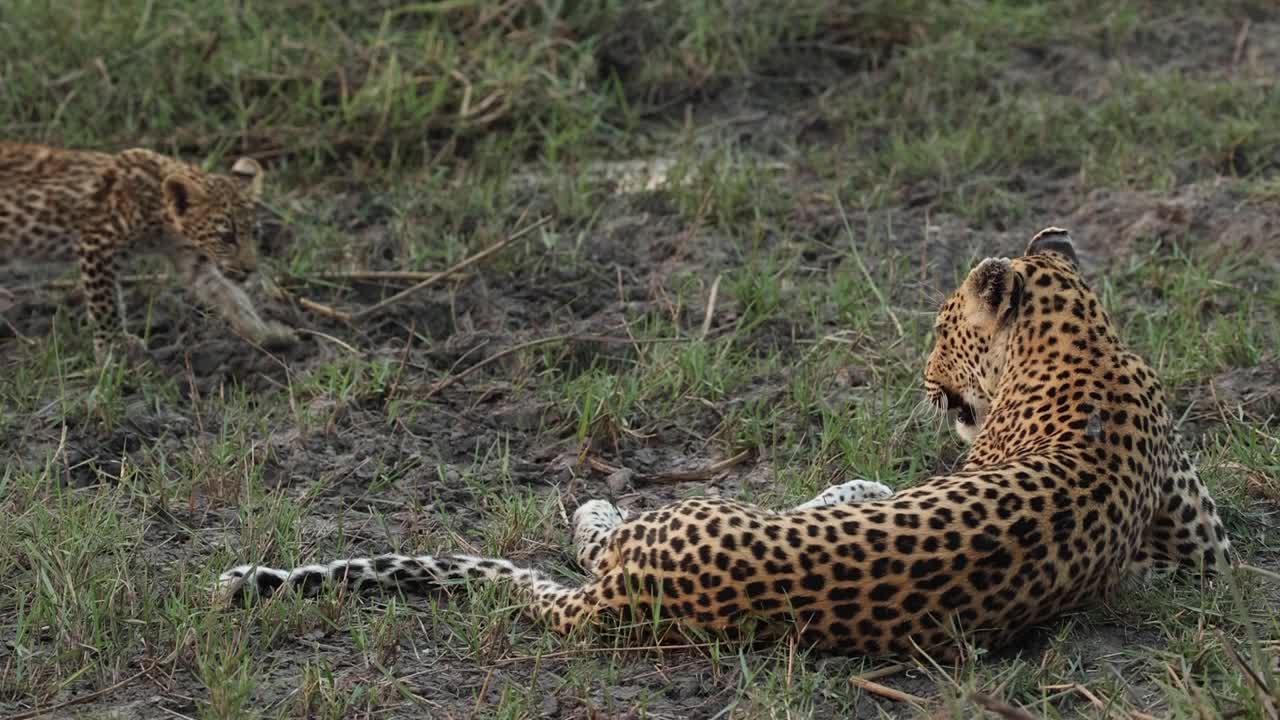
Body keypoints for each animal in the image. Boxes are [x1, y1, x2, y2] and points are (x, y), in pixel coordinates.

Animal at [0, 142, 296, 362]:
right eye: (227, 236)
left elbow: (229, 295)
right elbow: (106, 302)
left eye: (255, 233)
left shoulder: (192, 258)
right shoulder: (96, 243)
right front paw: (115, 346)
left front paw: (264, 332)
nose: (249, 269)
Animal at [219, 228, 1231, 657]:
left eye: (944, 326)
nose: (923, 373)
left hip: (676, 519)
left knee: (597, 536)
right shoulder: (1202, 543)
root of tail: (625, 601)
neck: (1084, 346)